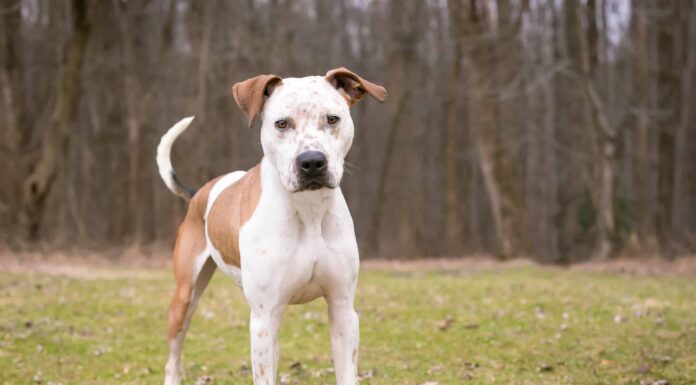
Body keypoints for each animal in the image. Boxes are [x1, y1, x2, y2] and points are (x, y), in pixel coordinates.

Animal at [156, 68, 388, 384]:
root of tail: (198, 194)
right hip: (185, 297)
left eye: (332, 119)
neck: (309, 209)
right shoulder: (263, 319)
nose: (312, 162)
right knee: (173, 357)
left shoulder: (342, 309)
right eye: (281, 123)